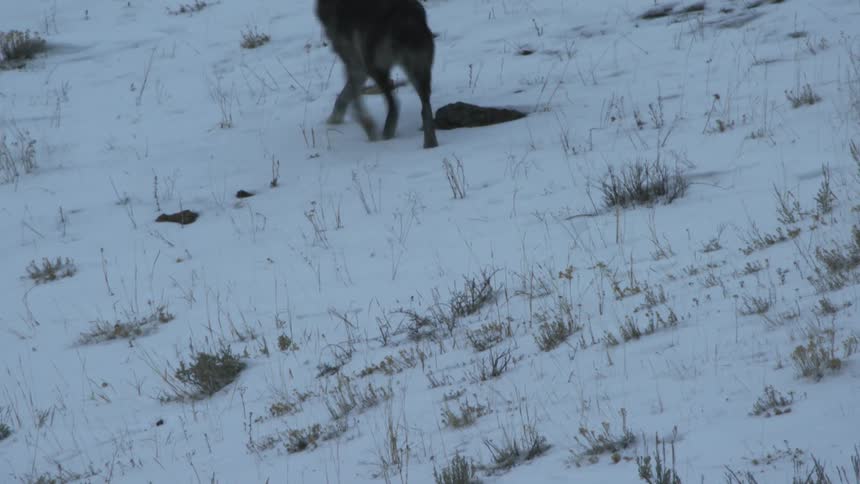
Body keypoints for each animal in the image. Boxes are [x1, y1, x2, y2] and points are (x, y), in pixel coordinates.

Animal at [316, 0, 439, 148]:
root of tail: (405, 16)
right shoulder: (360, 69)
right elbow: (344, 97)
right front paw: (334, 120)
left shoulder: (355, 64)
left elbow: (353, 103)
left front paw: (370, 130)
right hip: (418, 72)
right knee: (425, 107)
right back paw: (430, 143)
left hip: (376, 68)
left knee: (394, 104)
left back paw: (386, 136)